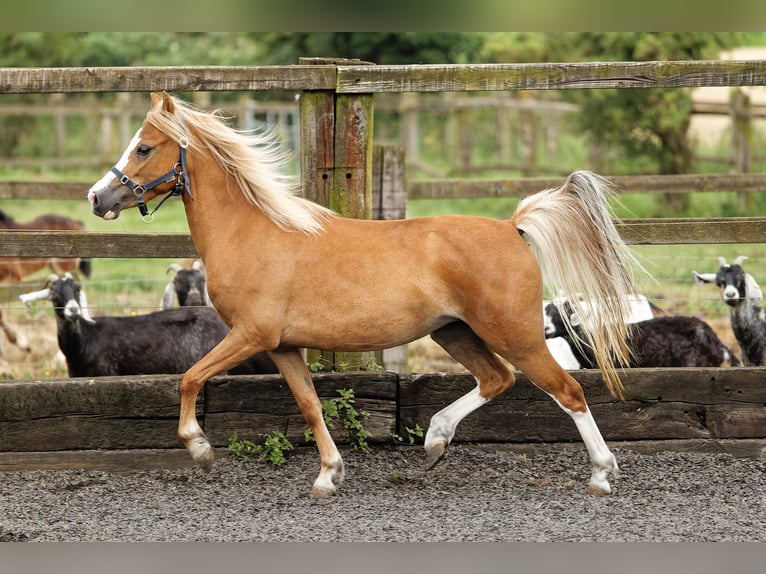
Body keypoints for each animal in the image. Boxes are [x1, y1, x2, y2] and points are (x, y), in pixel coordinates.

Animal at [88, 93, 640, 500]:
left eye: (144, 148)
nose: (97, 198)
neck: (252, 233)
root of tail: (513, 228)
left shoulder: (251, 335)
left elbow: (189, 378)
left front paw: (200, 450)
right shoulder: (282, 346)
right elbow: (311, 406)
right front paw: (328, 476)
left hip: (514, 333)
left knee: (566, 391)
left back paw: (601, 475)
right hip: (455, 333)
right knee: (496, 380)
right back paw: (435, 441)